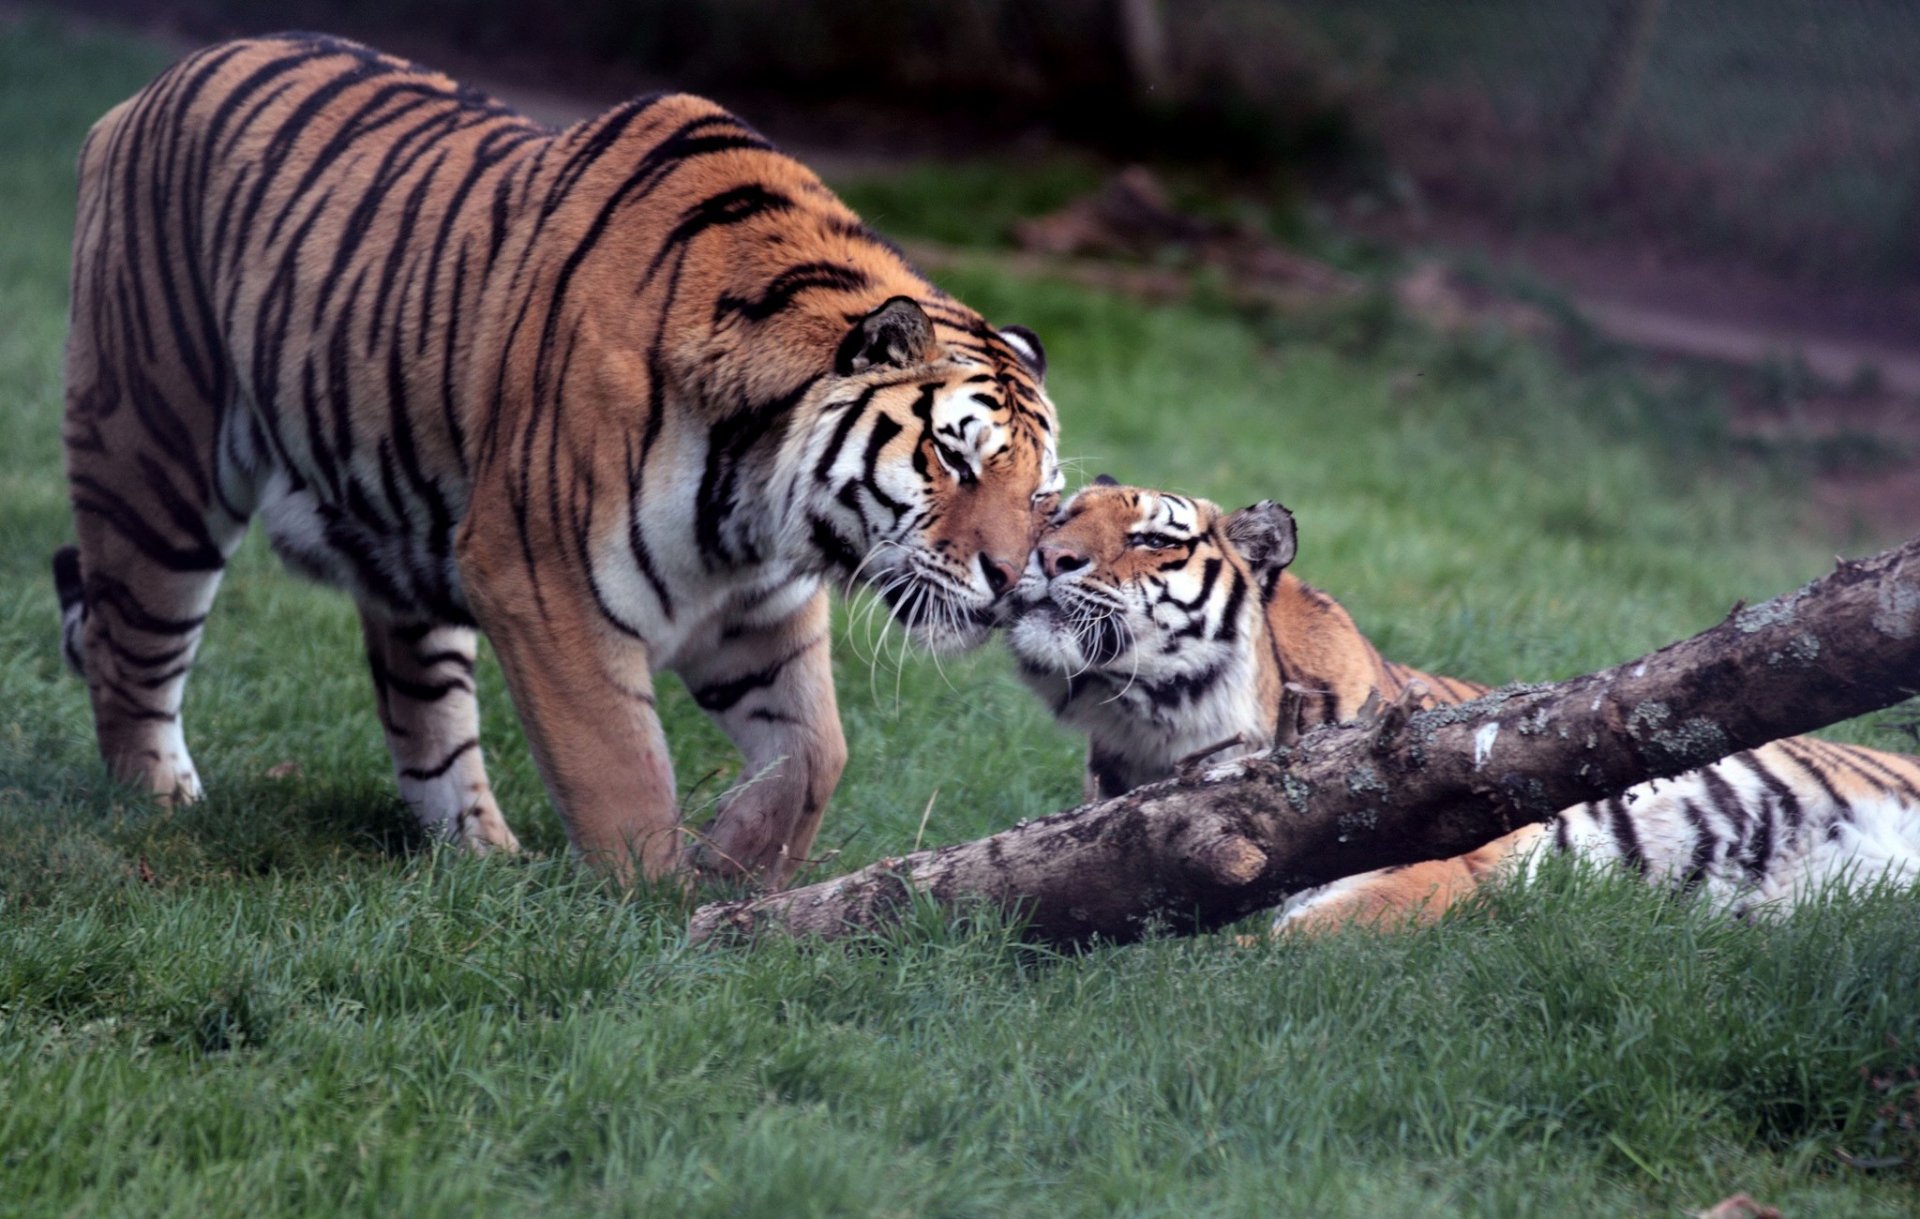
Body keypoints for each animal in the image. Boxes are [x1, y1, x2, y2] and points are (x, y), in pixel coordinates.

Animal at [54, 33, 1061, 885]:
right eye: (954, 459)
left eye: (1042, 498)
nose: (1009, 580)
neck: (759, 501)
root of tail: (148, 92)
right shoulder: (542, 576)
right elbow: (622, 772)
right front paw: (658, 913)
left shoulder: (759, 609)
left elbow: (814, 755)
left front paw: (736, 869)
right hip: (153, 459)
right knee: (125, 650)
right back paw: (160, 807)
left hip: (403, 540)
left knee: (424, 714)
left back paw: (481, 857)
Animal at [1002, 479, 1920, 930]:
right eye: (1058, 512)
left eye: (1152, 539)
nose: (1046, 558)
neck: (1155, 736)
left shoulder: (1435, 864)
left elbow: (1298, 942)